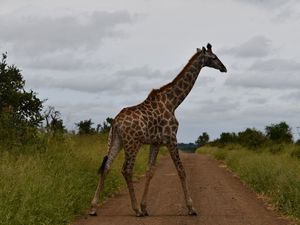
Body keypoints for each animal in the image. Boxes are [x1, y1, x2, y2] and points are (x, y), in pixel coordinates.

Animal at [89, 43, 227, 217]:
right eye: (214, 57)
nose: (224, 68)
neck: (174, 102)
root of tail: (115, 122)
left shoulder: (156, 142)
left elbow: (150, 171)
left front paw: (145, 207)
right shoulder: (171, 138)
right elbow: (181, 171)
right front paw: (191, 208)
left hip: (117, 141)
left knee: (106, 167)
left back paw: (94, 208)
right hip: (133, 143)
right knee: (126, 170)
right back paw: (135, 210)